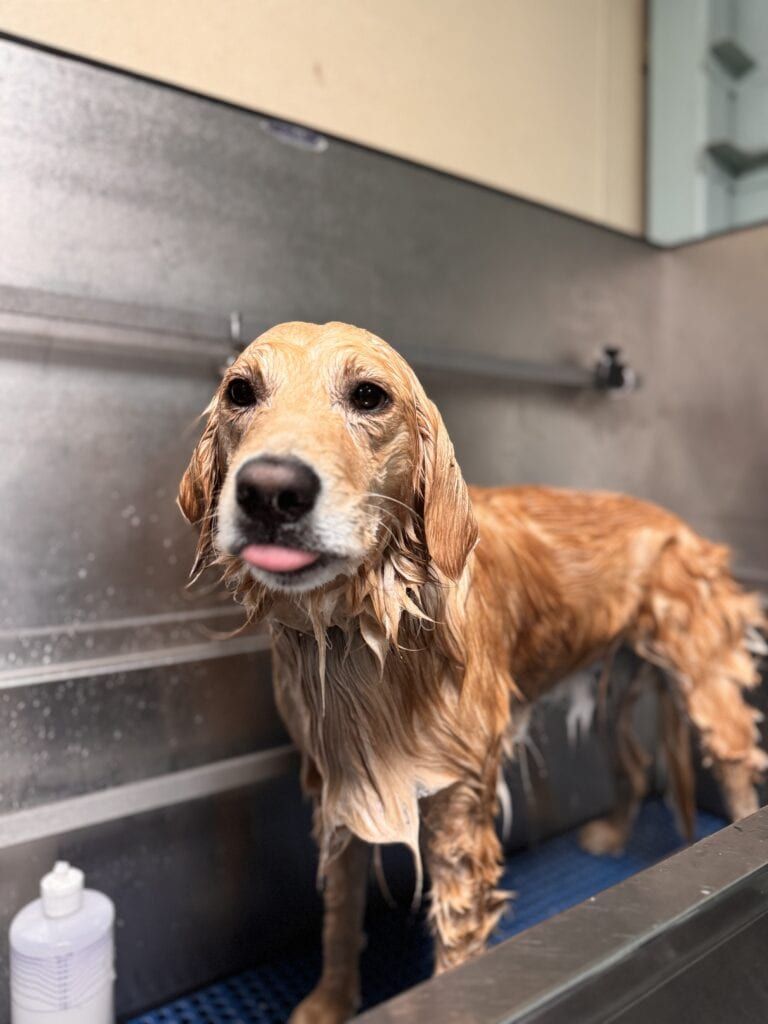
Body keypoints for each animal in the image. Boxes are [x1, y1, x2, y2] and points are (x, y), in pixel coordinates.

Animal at [179, 321, 765, 1024]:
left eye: (369, 395)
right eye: (240, 391)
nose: (270, 490)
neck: (370, 633)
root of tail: (677, 522)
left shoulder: (459, 803)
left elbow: (455, 941)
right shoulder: (338, 781)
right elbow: (341, 911)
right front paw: (329, 1001)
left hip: (703, 679)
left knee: (734, 765)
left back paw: (736, 839)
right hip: (614, 686)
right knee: (633, 762)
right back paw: (614, 834)